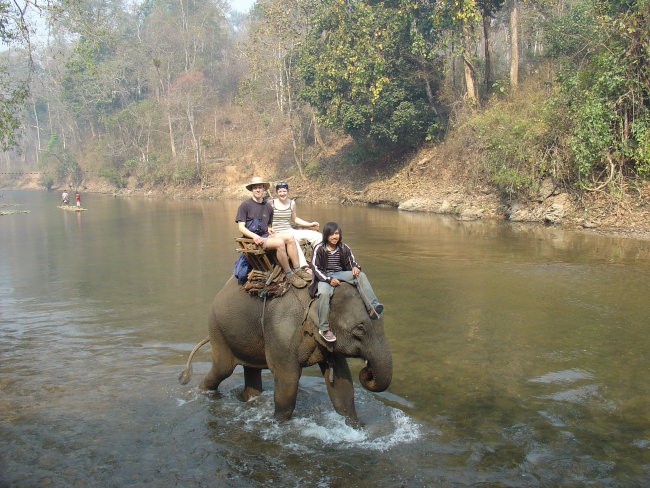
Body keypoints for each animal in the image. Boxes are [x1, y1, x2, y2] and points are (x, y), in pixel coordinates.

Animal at [177, 274, 390, 424]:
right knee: (222, 369)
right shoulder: (282, 329)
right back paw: (202, 393)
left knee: (250, 370)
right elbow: (288, 378)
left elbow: (341, 382)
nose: (367, 371)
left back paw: (250, 400)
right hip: (218, 330)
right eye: (360, 328)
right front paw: (278, 424)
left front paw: (357, 427)